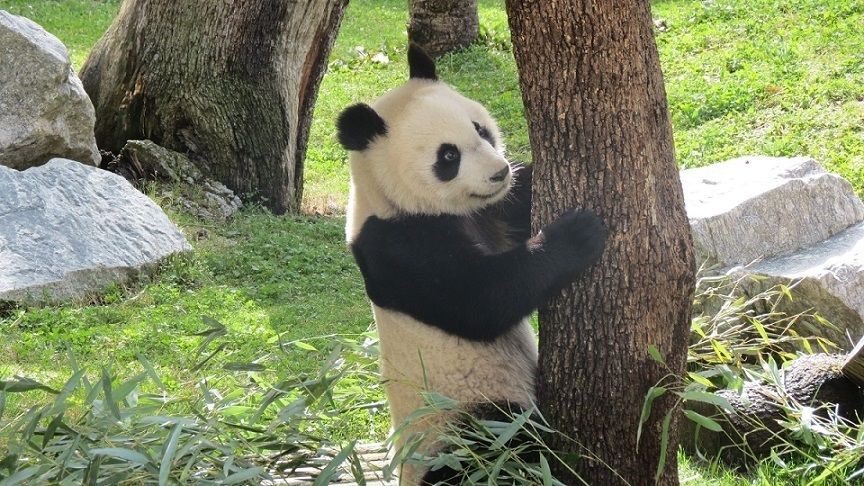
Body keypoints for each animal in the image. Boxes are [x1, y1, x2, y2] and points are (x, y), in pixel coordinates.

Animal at [336, 44, 608, 485]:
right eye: (448, 155)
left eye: (481, 129)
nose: (499, 172)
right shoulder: (396, 245)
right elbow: (481, 300)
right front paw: (579, 233)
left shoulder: (494, 210)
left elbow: (518, 203)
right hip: (462, 420)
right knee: (502, 446)